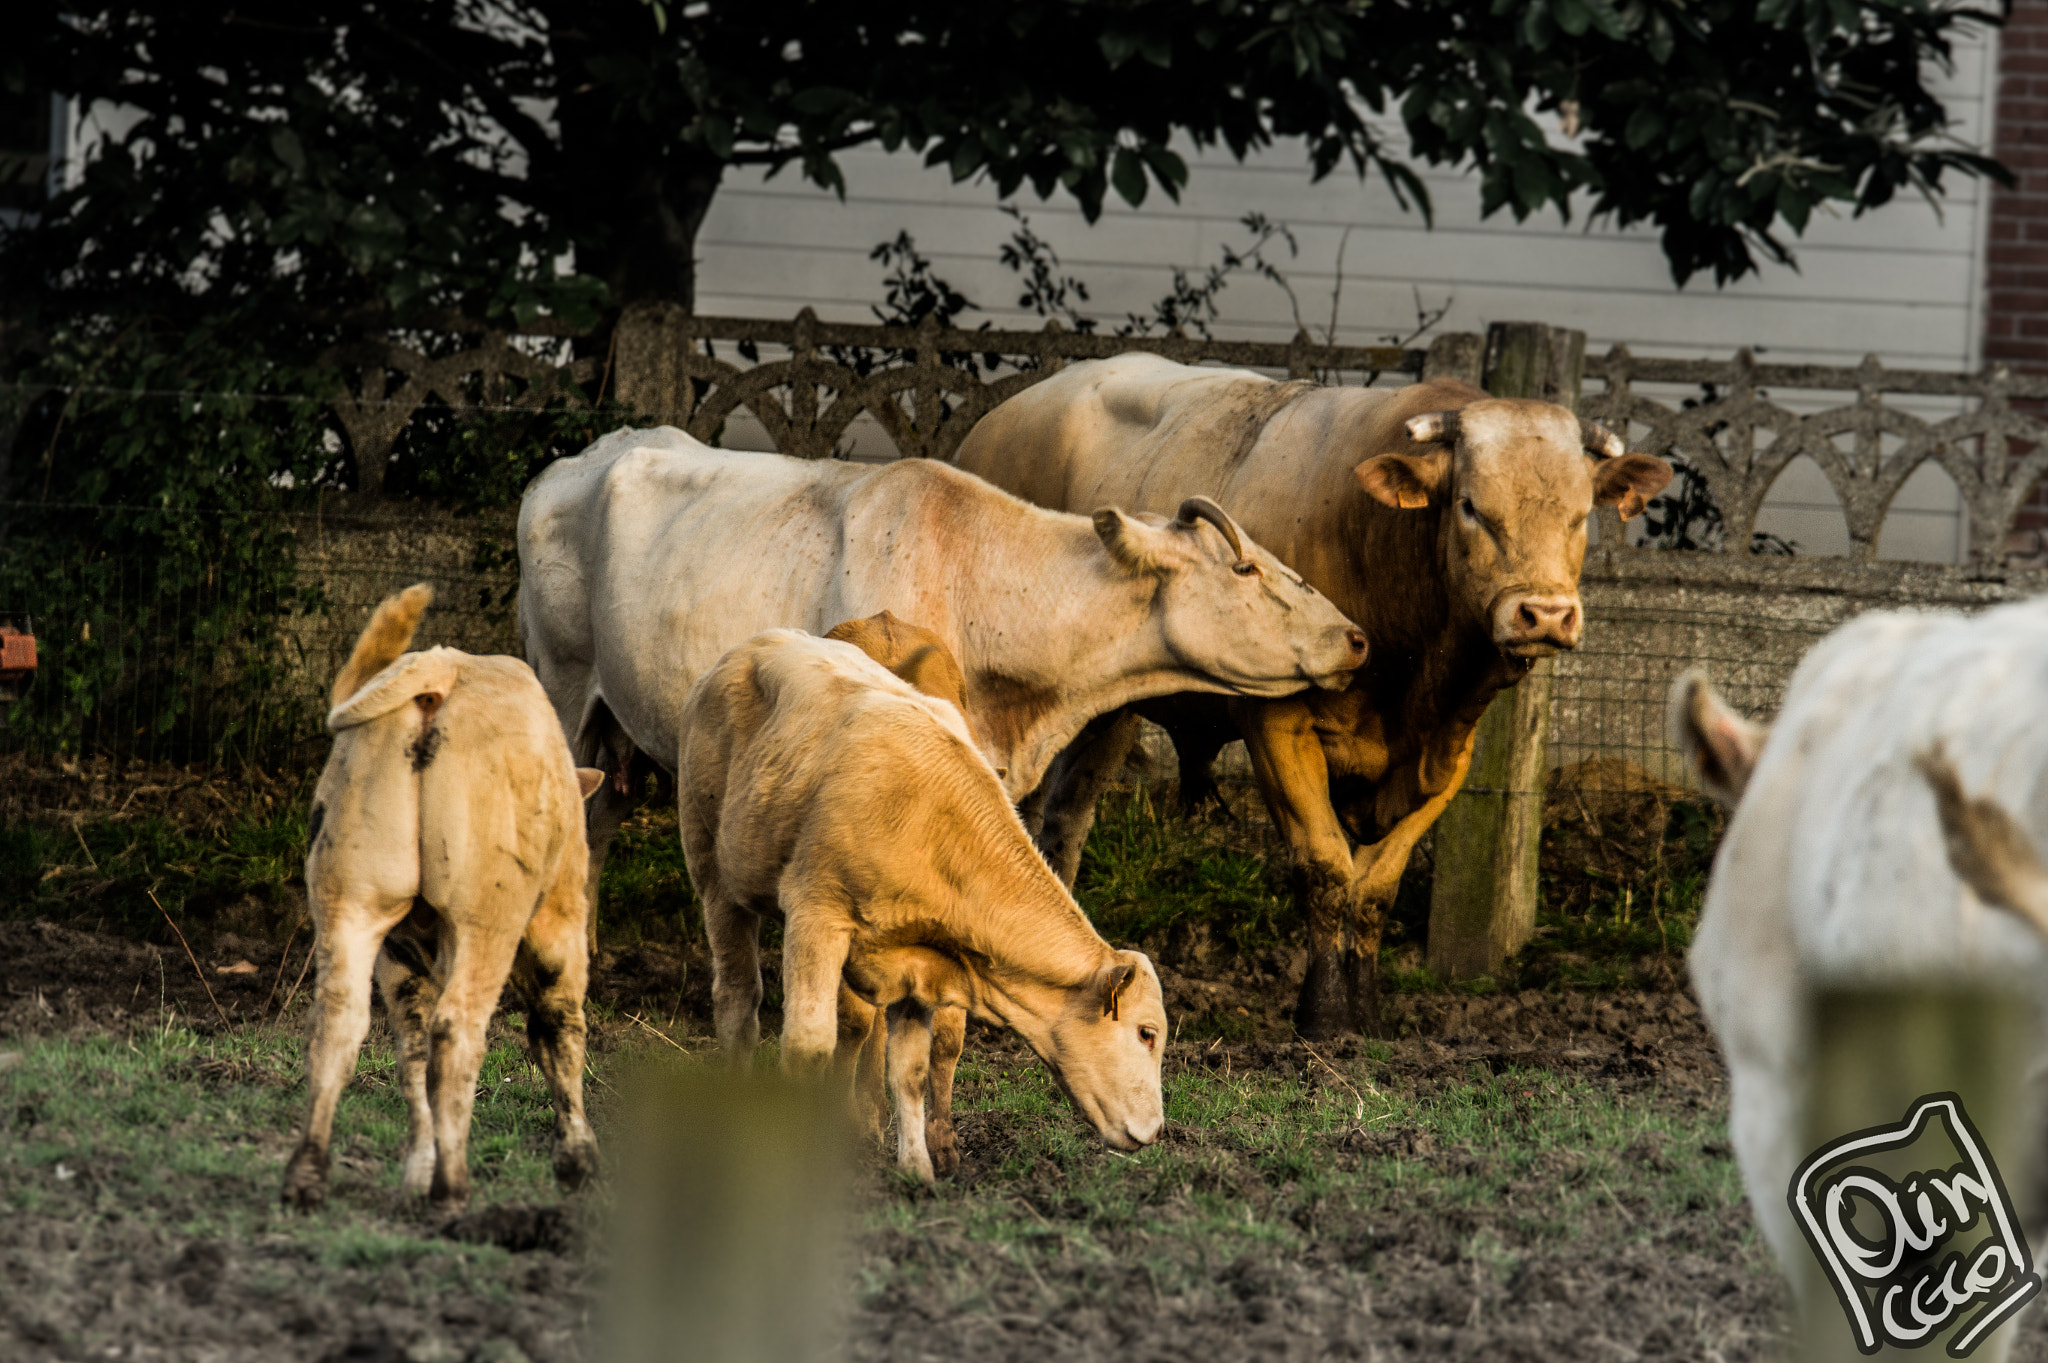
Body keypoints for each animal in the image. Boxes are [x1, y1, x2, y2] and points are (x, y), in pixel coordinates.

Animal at [280, 585, 602, 1211]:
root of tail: (442, 669)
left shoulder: (401, 952)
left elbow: (410, 1048)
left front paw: (416, 1170)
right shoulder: (558, 922)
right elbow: (558, 1030)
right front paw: (577, 1161)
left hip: (352, 891)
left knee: (341, 1021)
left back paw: (308, 1174)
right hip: (488, 912)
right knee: (460, 1030)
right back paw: (452, 1189)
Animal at [520, 427, 1368, 933]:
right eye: (1246, 568)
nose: (1356, 636)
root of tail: (585, 455)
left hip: (619, 722)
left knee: (597, 826)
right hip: (560, 679)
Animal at [675, 630, 1171, 1170]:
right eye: (1146, 1032)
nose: (1157, 1130)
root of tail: (753, 645)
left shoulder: (918, 960)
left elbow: (908, 1071)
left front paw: (917, 1169)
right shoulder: (816, 915)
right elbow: (808, 1047)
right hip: (712, 868)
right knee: (737, 1002)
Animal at [950, 349, 1671, 1031]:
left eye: (1581, 516)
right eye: (1470, 506)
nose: (1544, 615)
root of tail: (997, 420)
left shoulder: (1450, 755)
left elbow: (1376, 887)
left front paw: (1365, 1012)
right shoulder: (1279, 723)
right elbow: (1324, 868)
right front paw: (1322, 1013)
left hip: (1109, 708)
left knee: (1064, 818)